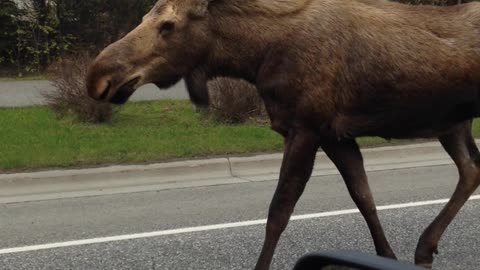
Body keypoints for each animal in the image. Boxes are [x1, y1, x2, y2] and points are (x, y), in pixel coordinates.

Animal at [87, 0, 480, 268]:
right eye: (144, 18)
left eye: (168, 25)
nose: (97, 77)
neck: (255, 56)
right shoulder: (335, 134)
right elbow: (363, 196)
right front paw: (386, 256)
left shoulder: (305, 128)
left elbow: (278, 212)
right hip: (453, 124)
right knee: (471, 169)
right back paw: (425, 247)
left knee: (470, 169)